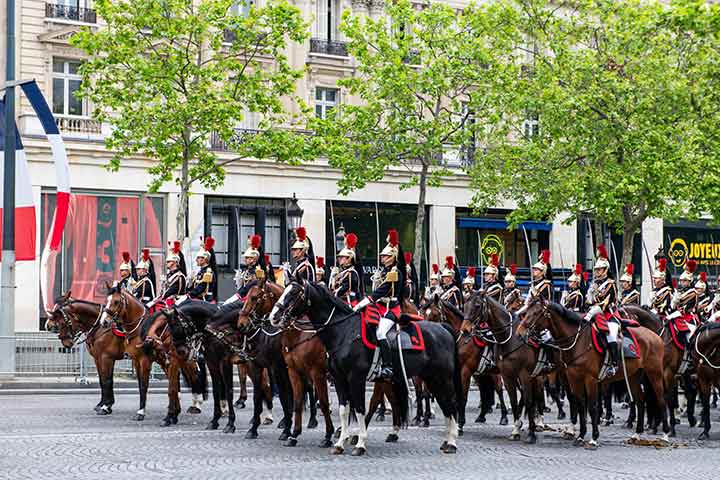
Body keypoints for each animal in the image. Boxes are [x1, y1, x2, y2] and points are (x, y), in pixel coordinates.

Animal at [239, 280, 334, 448]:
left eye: (255, 297)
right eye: (246, 296)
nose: (242, 324)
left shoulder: (279, 369)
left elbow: (285, 397)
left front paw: (286, 430)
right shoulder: (257, 366)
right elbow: (258, 396)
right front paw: (254, 428)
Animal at [270, 284, 462, 456]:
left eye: (294, 293)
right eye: (285, 290)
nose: (273, 317)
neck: (344, 332)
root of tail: (443, 328)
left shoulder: (352, 378)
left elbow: (359, 408)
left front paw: (359, 444)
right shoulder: (337, 379)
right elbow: (343, 409)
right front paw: (339, 443)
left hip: (441, 378)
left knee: (450, 403)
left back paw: (452, 442)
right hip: (428, 378)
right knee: (441, 405)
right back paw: (444, 441)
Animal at [420, 292, 510, 436]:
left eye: (434, 314)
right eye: (423, 313)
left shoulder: (465, 372)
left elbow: (462, 397)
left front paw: (460, 424)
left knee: (499, 389)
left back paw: (504, 417)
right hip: (481, 374)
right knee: (485, 390)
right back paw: (482, 415)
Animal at [462, 288, 544, 442]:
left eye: (477, 306)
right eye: (465, 305)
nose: (465, 330)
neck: (509, 337)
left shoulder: (524, 374)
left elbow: (527, 399)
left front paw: (531, 433)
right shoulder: (506, 374)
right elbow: (512, 398)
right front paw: (516, 429)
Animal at [516, 298, 668, 448]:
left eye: (536, 313)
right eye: (526, 312)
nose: (519, 333)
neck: (578, 341)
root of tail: (655, 336)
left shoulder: (590, 379)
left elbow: (592, 406)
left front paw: (594, 438)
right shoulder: (573, 377)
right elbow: (580, 403)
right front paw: (580, 436)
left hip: (654, 373)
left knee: (661, 399)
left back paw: (665, 435)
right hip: (633, 376)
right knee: (640, 400)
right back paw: (637, 434)